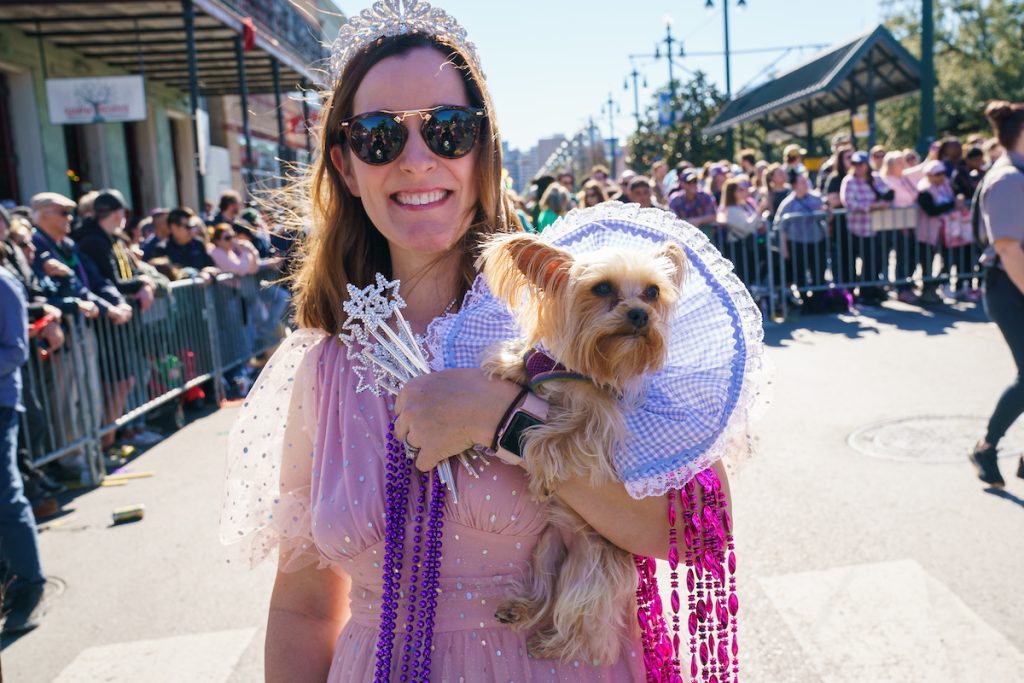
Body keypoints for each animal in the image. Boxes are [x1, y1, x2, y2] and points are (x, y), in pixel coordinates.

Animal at [479, 232, 688, 663]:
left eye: (652, 292)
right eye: (602, 288)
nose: (640, 314)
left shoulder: (599, 423)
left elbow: (552, 437)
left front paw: (542, 477)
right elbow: (522, 364)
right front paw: (508, 362)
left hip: (591, 571)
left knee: (588, 628)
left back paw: (552, 644)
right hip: (546, 549)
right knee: (546, 589)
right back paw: (520, 610)